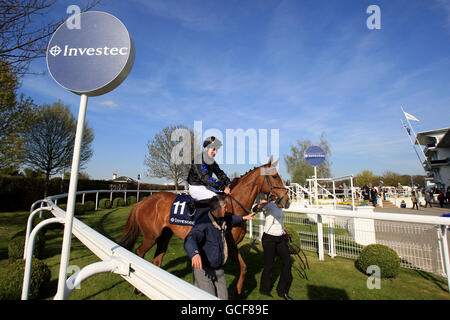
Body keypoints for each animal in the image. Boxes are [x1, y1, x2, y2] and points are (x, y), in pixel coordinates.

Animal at [118, 156, 290, 296]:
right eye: (275, 176)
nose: (287, 200)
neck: (233, 205)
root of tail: (141, 203)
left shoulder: (232, 246)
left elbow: (244, 268)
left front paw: (237, 291)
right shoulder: (227, 245)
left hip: (164, 235)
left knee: (157, 259)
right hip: (151, 236)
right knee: (139, 252)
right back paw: (137, 288)